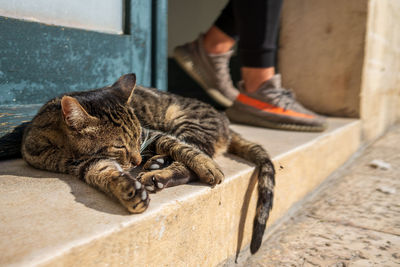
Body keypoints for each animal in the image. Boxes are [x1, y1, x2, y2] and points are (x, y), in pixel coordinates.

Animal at [1, 74, 276, 254]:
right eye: (119, 146)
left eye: (135, 139)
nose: (136, 159)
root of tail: (224, 120)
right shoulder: (85, 164)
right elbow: (105, 173)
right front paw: (127, 190)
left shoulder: (151, 134)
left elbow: (183, 149)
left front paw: (205, 165)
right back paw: (156, 168)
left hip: (186, 122)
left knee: (192, 153)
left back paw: (160, 169)